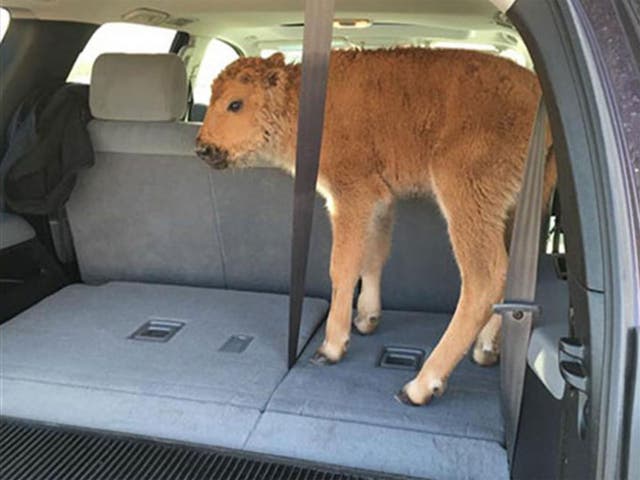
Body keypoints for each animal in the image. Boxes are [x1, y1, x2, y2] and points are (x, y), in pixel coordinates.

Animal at [195, 49, 556, 404]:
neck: (298, 103)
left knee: (485, 278)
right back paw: (486, 348)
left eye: (235, 103)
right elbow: (373, 256)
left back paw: (420, 386)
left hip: (467, 196)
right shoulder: (381, 201)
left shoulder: (351, 195)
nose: (202, 148)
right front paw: (367, 319)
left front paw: (332, 346)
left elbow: (343, 266)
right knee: (514, 271)